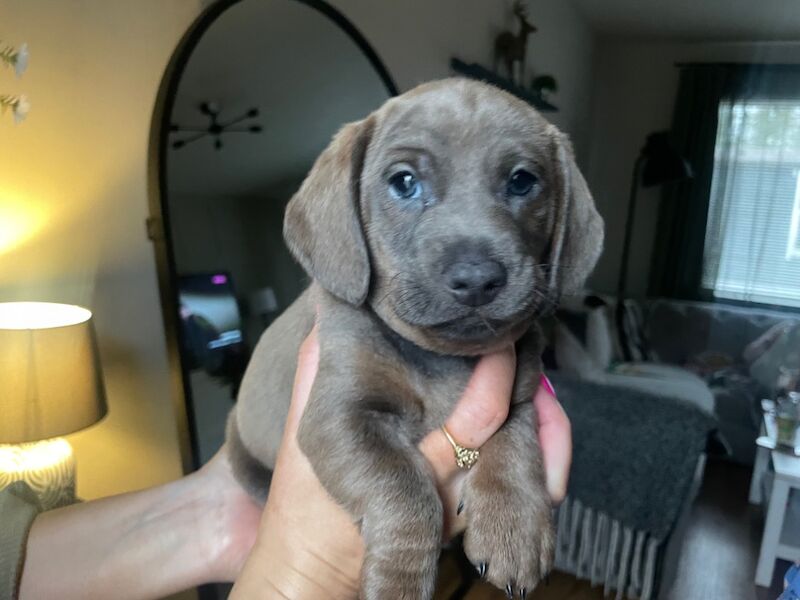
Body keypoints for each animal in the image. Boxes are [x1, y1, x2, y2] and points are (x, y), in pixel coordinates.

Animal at [225, 79, 600, 600]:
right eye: (404, 182)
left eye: (523, 180)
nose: (476, 278)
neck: (443, 359)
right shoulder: (340, 415)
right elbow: (402, 485)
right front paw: (400, 578)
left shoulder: (521, 391)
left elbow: (514, 446)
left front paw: (514, 528)